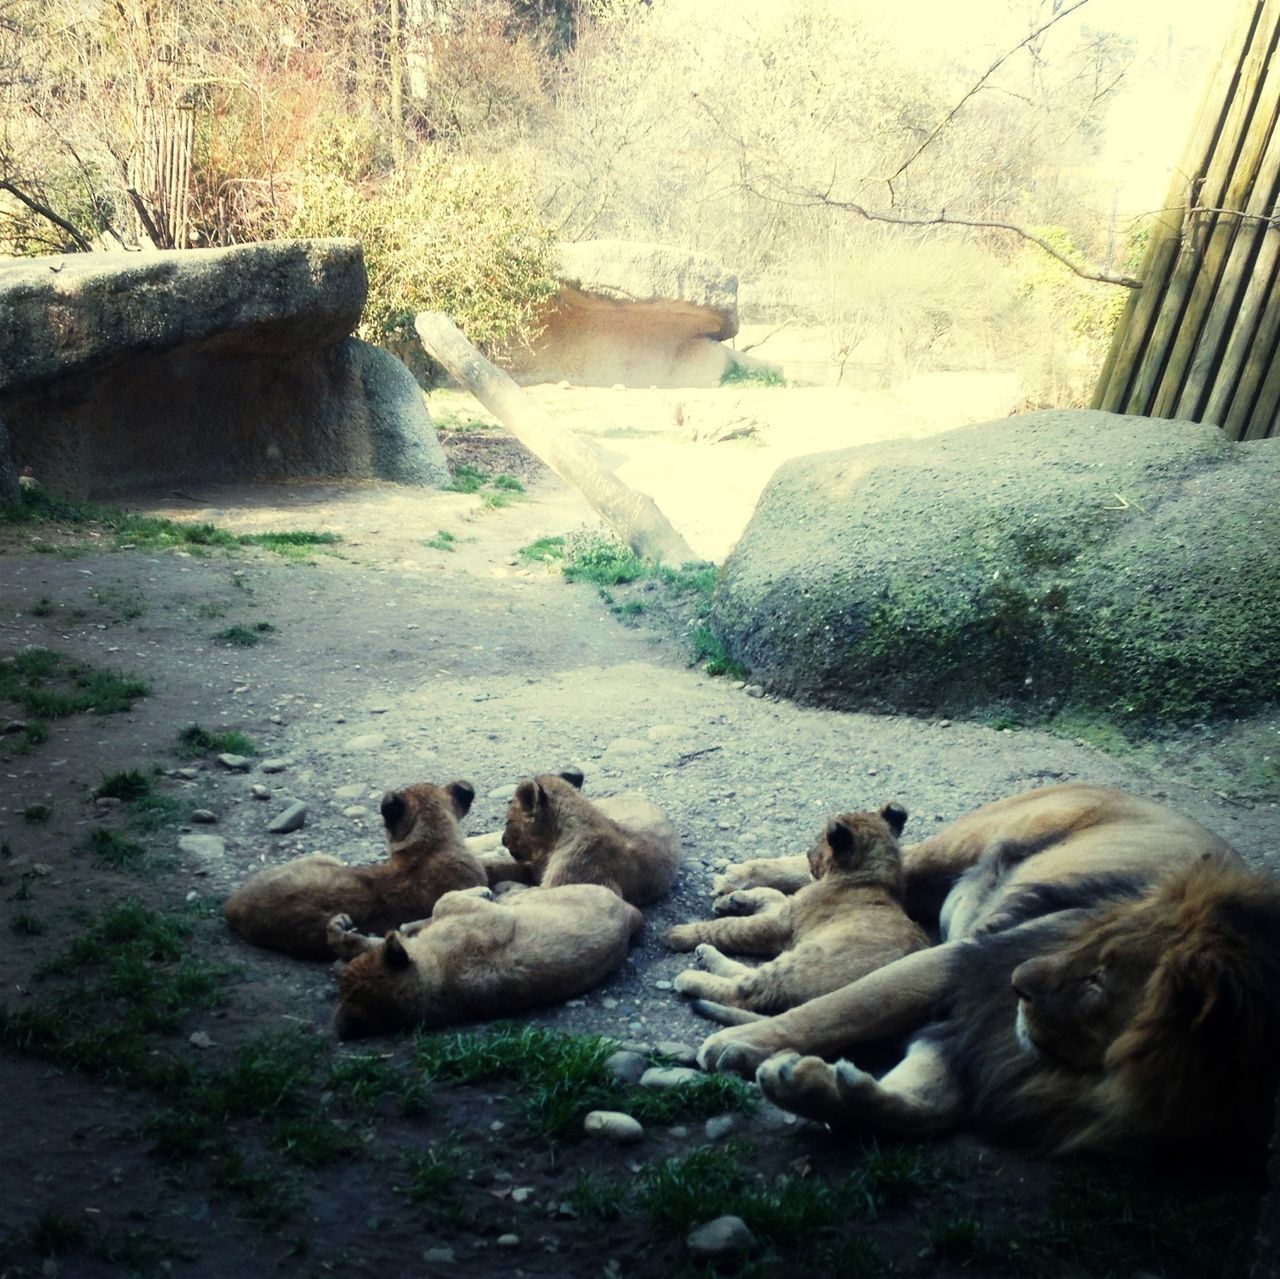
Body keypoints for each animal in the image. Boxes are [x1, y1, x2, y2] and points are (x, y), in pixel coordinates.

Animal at [665, 804, 926, 1024]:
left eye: (819, 842)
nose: (807, 853)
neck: (873, 878)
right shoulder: (786, 912)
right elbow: (771, 894)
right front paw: (733, 900)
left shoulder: (780, 926)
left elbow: (729, 927)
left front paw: (681, 933)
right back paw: (706, 955)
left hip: (802, 961)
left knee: (745, 993)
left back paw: (690, 977)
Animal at [701, 783, 1280, 1167]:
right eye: (1088, 944)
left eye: (1097, 981)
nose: (1020, 982)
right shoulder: (963, 963)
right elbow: (844, 1007)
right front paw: (740, 1044)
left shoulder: (980, 1038)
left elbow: (924, 1104)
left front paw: (821, 1089)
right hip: (959, 847)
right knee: (859, 859)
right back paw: (739, 878)